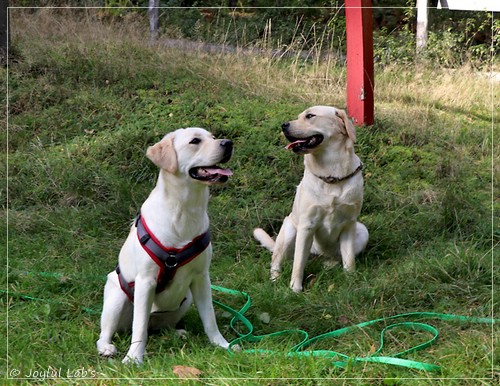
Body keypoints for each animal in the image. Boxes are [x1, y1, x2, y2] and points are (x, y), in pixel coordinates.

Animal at [97, 127, 234, 364]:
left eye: (214, 137)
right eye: (195, 141)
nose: (228, 143)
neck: (184, 209)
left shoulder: (201, 277)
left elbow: (209, 317)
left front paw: (221, 345)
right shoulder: (146, 281)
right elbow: (139, 326)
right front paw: (134, 358)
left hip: (186, 299)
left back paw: (178, 333)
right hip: (116, 297)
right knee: (111, 330)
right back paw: (106, 347)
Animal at [254, 105, 368, 292]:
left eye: (310, 116)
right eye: (299, 116)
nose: (284, 125)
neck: (332, 176)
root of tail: (318, 254)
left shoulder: (349, 224)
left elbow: (349, 260)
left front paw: (352, 283)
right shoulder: (306, 226)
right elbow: (299, 263)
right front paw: (295, 289)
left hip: (362, 231)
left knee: (336, 258)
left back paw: (329, 264)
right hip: (290, 230)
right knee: (277, 260)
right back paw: (275, 280)